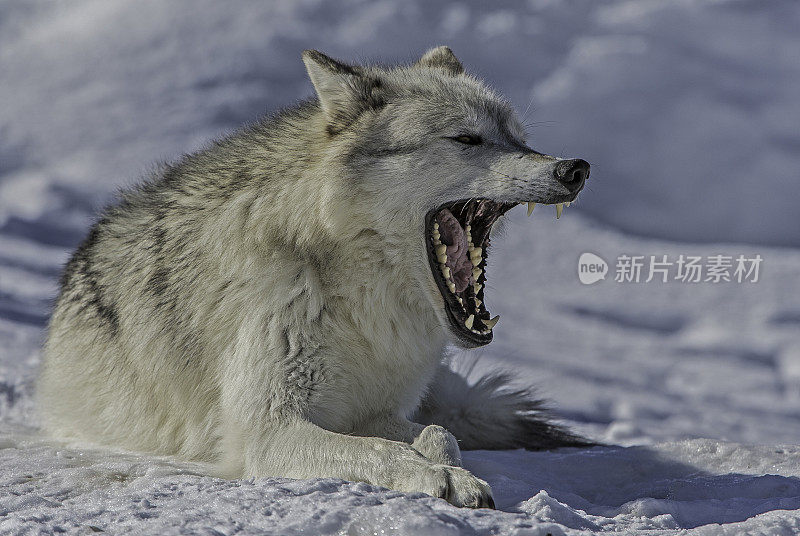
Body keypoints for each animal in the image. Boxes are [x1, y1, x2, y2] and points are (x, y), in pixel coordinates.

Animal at [39, 45, 592, 506]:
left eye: (519, 139)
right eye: (468, 138)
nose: (575, 168)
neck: (356, 304)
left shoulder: (375, 411)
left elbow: (439, 434)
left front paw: (454, 470)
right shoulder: (268, 430)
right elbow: (377, 451)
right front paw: (433, 476)